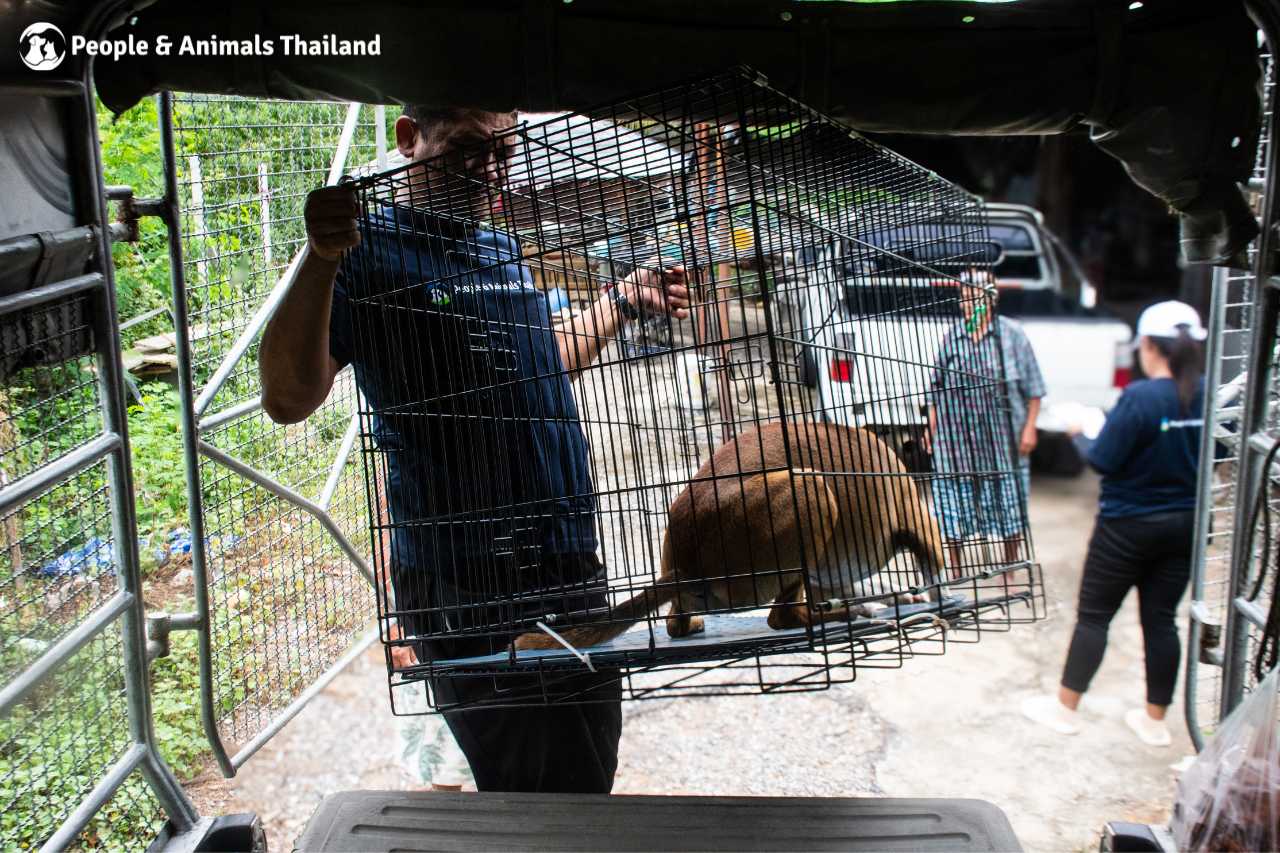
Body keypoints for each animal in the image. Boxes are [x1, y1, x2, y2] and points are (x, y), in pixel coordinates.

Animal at [512, 420, 952, 650]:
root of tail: (687, 565)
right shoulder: (918, 519)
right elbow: (934, 569)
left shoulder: (828, 573)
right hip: (809, 488)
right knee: (782, 617)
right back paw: (845, 614)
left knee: (675, 622)